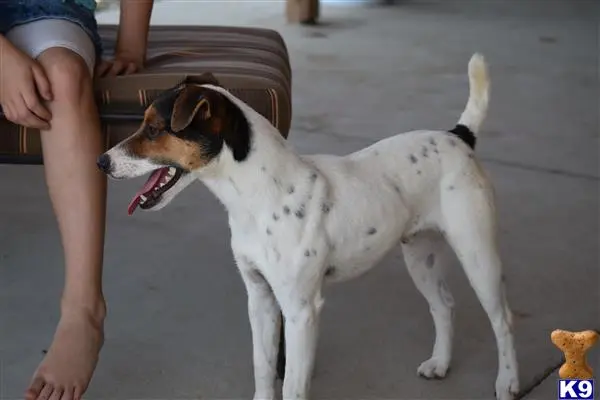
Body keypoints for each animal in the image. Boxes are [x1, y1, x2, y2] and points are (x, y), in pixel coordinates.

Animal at [98, 54, 520, 400]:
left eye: (154, 129)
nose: (101, 162)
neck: (259, 198)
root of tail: (458, 136)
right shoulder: (260, 299)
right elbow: (264, 371)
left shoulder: (301, 312)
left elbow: (293, 386)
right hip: (421, 257)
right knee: (443, 306)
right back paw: (441, 364)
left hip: (478, 255)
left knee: (502, 319)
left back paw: (508, 382)